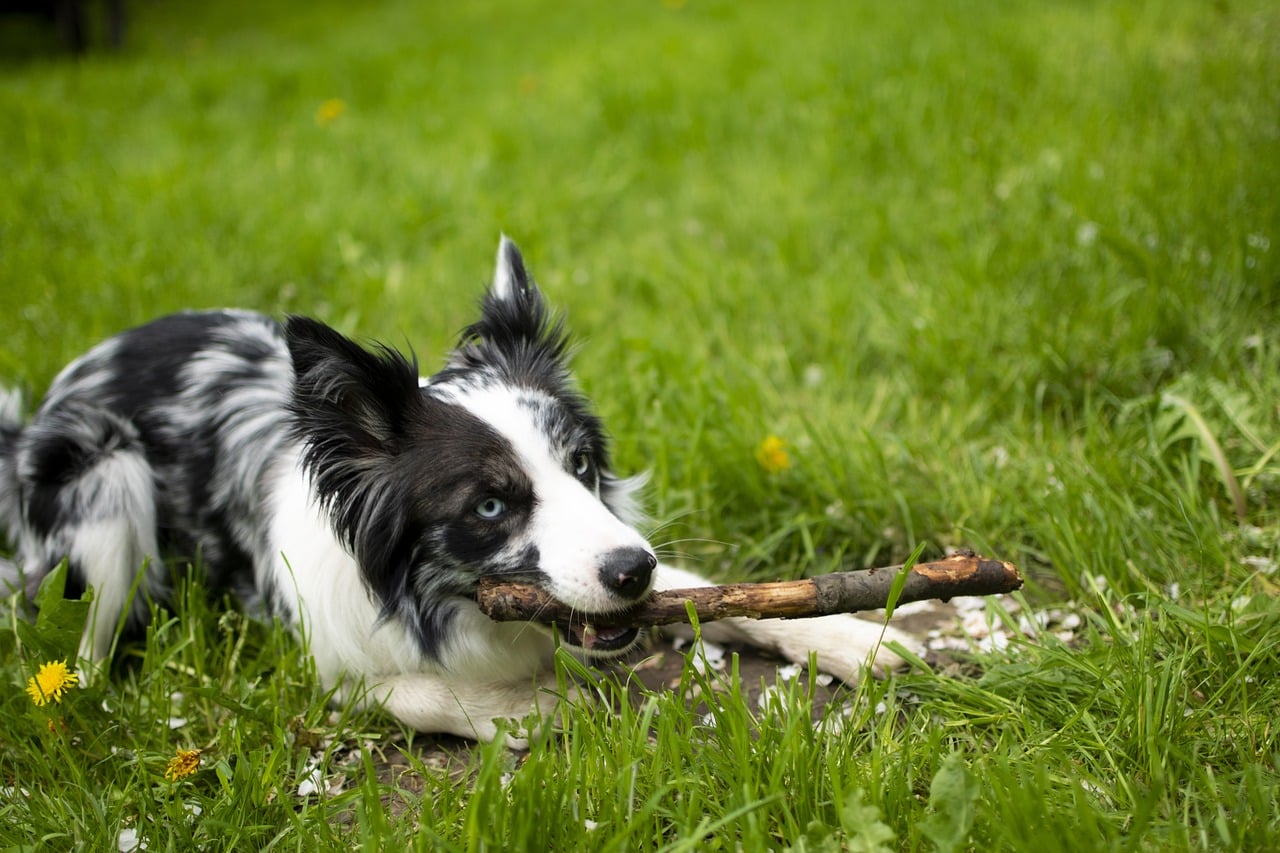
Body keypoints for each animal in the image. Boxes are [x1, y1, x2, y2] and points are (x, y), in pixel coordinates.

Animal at [2, 236, 921, 737]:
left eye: (580, 466)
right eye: (489, 505)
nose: (632, 572)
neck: (453, 608)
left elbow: (722, 596)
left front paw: (858, 636)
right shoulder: (328, 662)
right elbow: (414, 692)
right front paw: (526, 708)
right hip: (105, 474)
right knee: (73, 664)